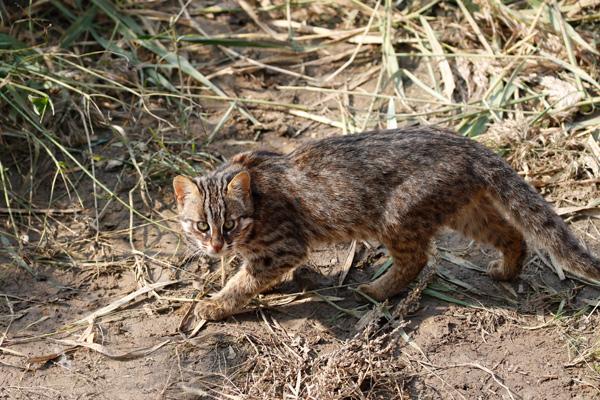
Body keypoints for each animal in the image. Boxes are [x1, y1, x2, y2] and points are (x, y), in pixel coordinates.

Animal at [171, 126, 596, 320]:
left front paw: (214, 305)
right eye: (202, 226)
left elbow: (243, 283)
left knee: (417, 260)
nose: (216, 247)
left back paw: (376, 290)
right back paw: (506, 271)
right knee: (513, 233)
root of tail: (466, 143)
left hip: (397, 218)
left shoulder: (283, 247)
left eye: (229, 224)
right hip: (464, 211)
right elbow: (256, 276)